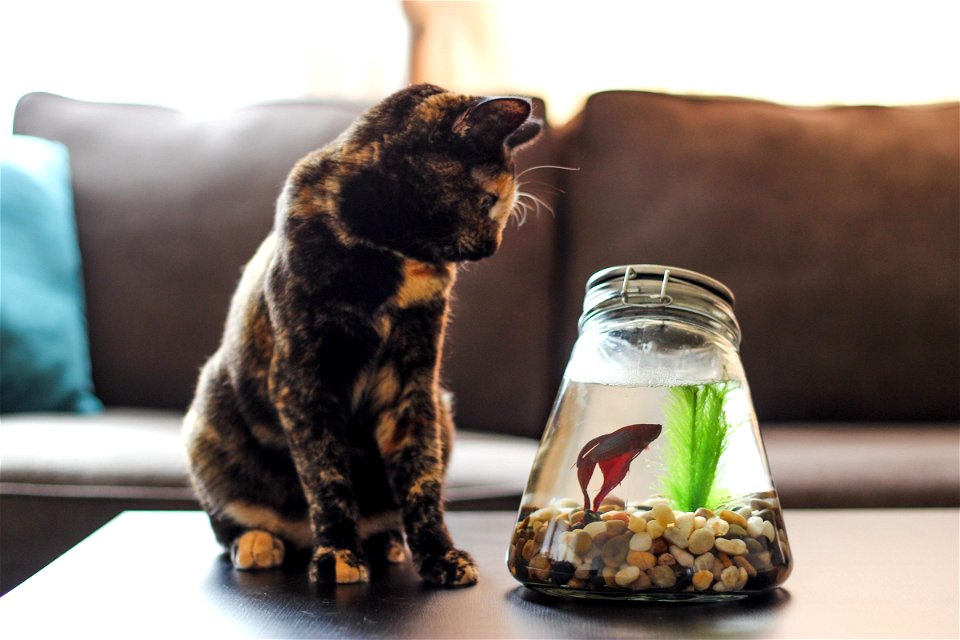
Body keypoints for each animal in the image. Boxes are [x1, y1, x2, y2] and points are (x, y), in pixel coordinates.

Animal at [180, 84, 540, 584]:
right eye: (489, 200)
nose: (492, 247)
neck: (390, 254)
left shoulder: (413, 383)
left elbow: (421, 479)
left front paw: (440, 555)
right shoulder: (304, 382)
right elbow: (326, 476)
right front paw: (337, 554)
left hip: (443, 414)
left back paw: (385, 542)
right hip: (206, 416)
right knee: (230, 522)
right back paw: (259, 542)